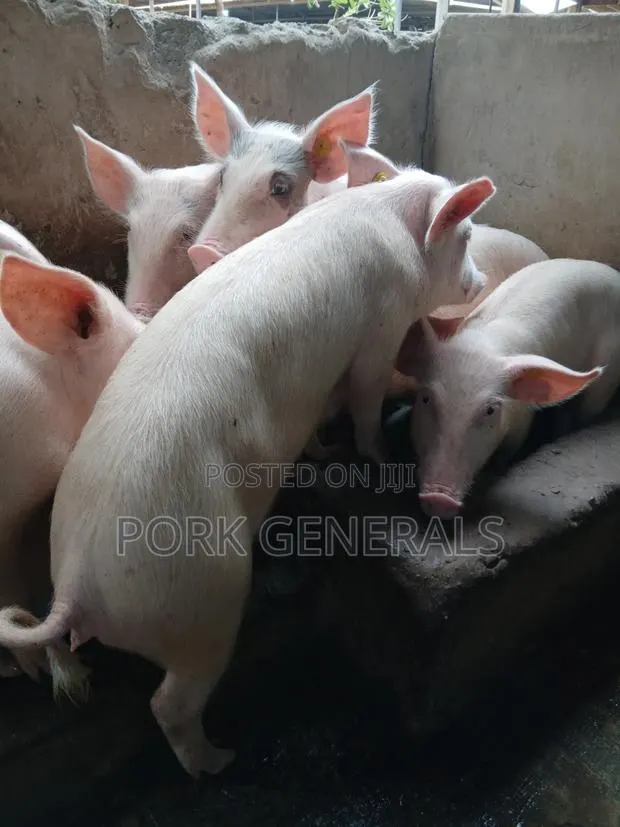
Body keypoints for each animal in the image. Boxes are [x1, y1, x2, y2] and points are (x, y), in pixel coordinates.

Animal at [395, 258, 620, 519]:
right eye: (426, 398)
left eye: (491, 410)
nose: (439, 498)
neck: (480, 345)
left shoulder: (522, 421)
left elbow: (507, 454)